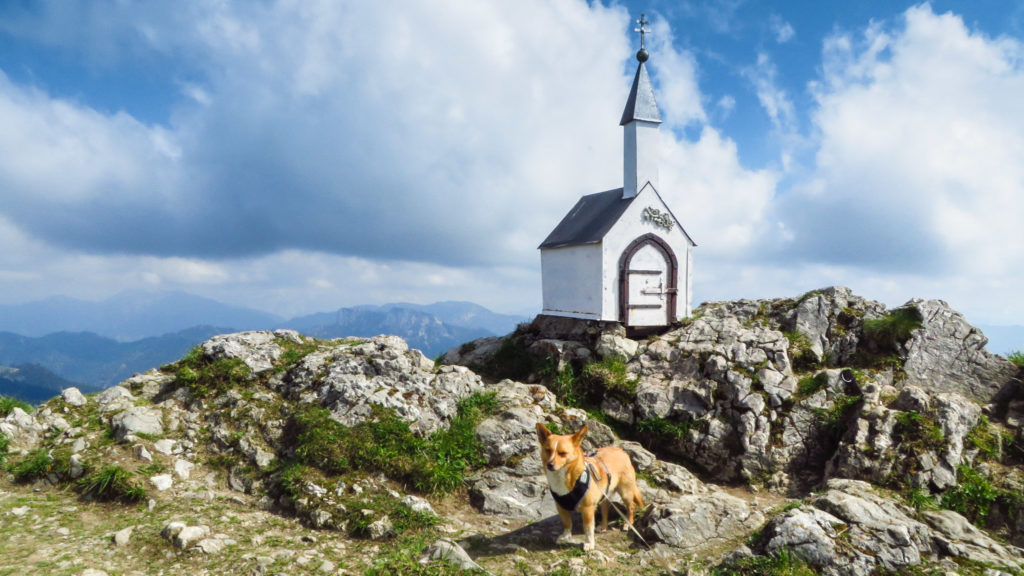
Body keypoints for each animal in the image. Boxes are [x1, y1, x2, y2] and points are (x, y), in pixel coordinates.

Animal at [536, 420, 638, 549]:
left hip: (626, 493)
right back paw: (603, 526)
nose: (549, 464)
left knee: (631, 507)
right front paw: (566, 536)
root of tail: (621, 450)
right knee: (605, 508)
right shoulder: (561, 507)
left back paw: (627, 524)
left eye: (562, 453)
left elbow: (588, 529)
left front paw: (589, 543)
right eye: (548, 450)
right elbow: (567, 523)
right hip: (604, 494)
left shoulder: (587, 509)